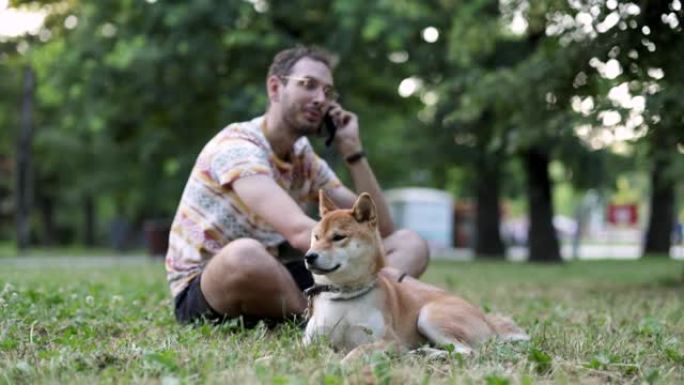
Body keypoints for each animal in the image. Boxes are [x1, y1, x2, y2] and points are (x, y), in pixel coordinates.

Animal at [302, 190, 532, 362]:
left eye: (338, 237)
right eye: (316, 237)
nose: (309, 256)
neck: (343, 297)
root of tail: (487, 320)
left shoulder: (390, 341)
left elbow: (357, 351)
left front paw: (343, 363)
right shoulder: (308, 341)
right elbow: (310, 350)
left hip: (429, 315)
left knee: (467, 352)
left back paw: (428, 353)